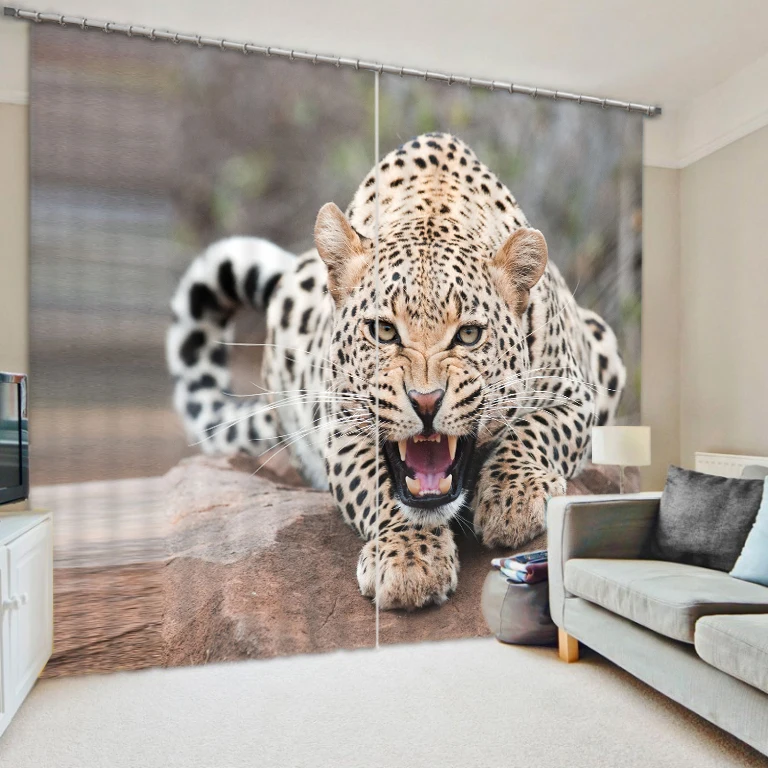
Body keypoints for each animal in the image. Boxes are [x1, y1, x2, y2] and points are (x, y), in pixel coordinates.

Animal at [166, 132, 626, 611]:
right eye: (384, 331)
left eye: (468, 335)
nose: (426, 402)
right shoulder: (342, 428)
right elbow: (381, 489)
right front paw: (411, 558)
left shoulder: (574, 391)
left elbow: (535, 431)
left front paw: (512, 500)